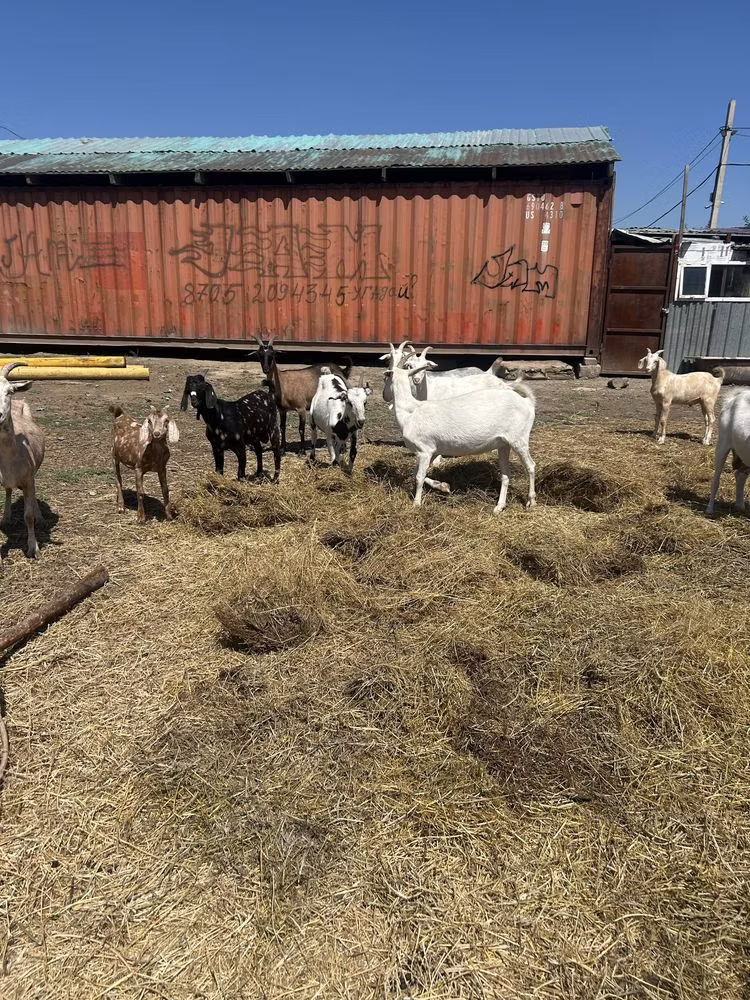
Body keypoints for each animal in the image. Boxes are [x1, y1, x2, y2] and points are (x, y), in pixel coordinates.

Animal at [386, 341, 536, 511]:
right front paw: (444, 486)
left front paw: (416, 503)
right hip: (504, 444)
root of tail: (527, 402)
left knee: (531, 466)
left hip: (519, 439)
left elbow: (419, 476)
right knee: (505, 475)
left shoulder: (424, 450)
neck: (411, 410)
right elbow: (415, 473)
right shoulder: (432, 451)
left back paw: (531, 501)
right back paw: (499, 507)